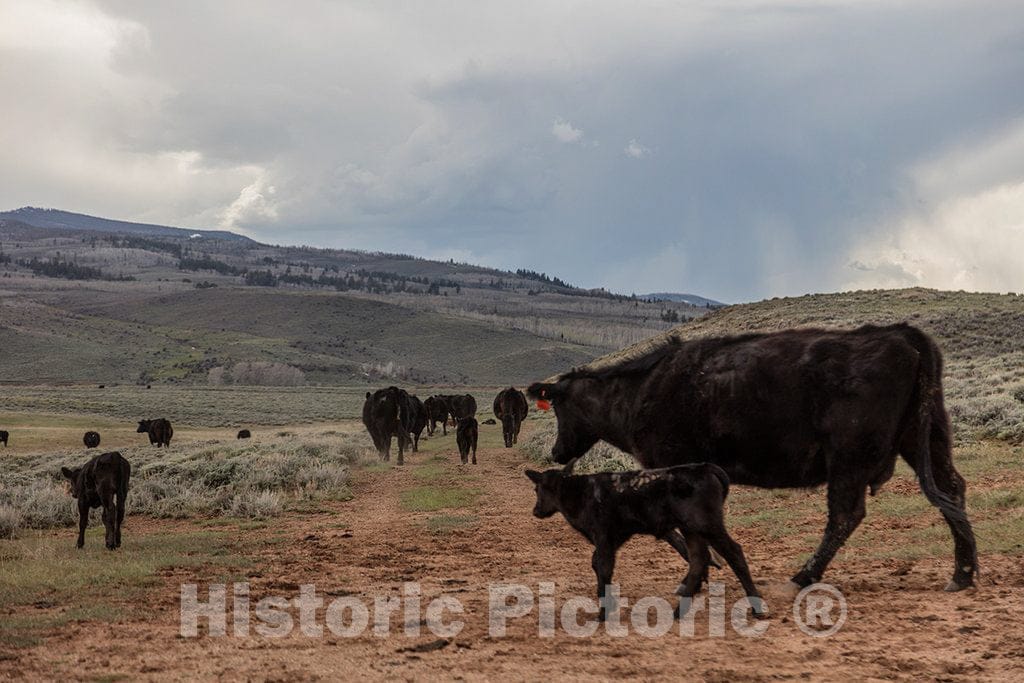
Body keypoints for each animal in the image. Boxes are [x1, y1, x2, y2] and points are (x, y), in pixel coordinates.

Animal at [526, 463, 765, 620]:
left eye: (537, 489)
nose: (536, 511)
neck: (581, 493)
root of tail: (706, 468)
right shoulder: (614, 538)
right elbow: (597, 564)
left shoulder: (604, 537)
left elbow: (603, 567)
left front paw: (603, 613)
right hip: (691, 529)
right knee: (698, 559)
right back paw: (679, 612)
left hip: (707, 525)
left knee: (733, 552)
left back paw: (757, 608)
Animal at [527, 324, 978, 593]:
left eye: (560, 407)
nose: (556, 451)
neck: (640, 389)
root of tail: (898, 334)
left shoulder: (670, 464)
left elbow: (681, 530)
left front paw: (700, 573)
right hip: (928, 439)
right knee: (953, 490)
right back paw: (963, 574)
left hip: (848, 458)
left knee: (845, 515)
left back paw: (804, 575)